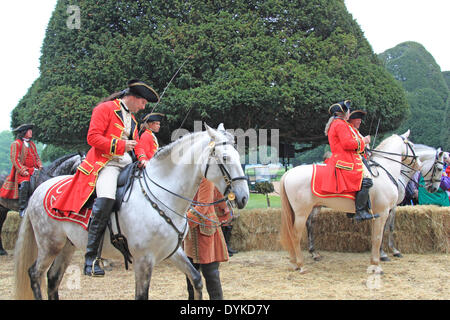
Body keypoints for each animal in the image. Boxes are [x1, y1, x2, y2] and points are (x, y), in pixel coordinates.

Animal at [13, 124, 250, 298]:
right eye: (225, 158)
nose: (243, 197)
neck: (163, 194)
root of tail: (39, 189)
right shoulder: (143, 260)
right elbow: (142, 295)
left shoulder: (173, 252)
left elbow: (197, 280)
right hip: (49, 245)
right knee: (35, 274)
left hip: (67, 246)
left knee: (52, 279)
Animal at [280, 131, 420, 274]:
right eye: (413, 145)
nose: (419, 164)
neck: (384, 173)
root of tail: (289, 173)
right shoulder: (383, 212)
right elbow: (378, 237)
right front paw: (377, 264)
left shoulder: (379, 213)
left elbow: (377, 236)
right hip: (302, 213)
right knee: (296, 234)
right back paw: (301, 265)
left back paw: (296, 262)